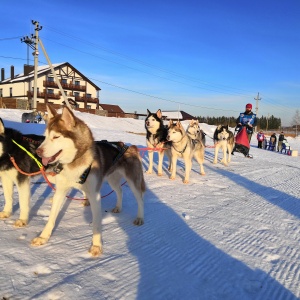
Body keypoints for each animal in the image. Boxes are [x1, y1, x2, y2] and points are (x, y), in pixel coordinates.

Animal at [31, 104, 145, 256]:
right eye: (45, 137)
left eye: (56, 136)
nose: (37, 152)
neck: (75, 161)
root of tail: (130, 146)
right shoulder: (61, 191)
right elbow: (51, 218)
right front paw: (43, 237)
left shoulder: (94, 195)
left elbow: (96, 224)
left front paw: (96, 246)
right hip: (112, 180)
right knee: (119, 191)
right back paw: (118, 207)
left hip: (133, 182)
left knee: (140, 199)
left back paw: (140, 217)